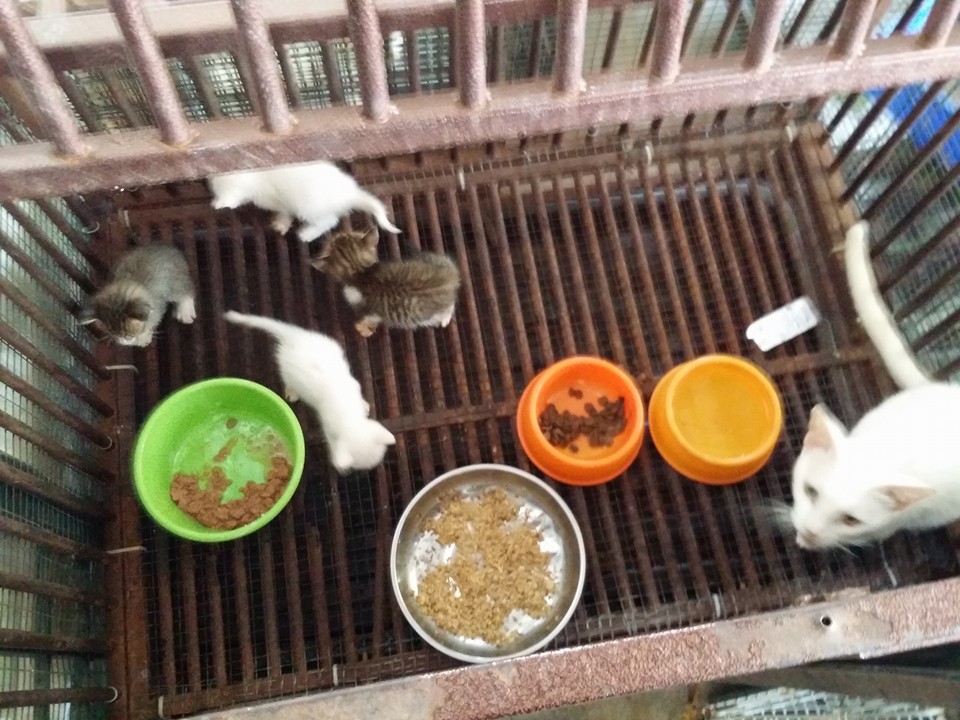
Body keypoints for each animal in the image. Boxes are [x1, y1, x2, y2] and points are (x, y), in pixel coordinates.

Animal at [208, 161, 401, 242]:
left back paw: (306, 234)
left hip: (310, 208)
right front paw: (281, 225)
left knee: (329, 220)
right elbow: (284, 213)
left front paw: (218, 203)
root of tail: (350, 193)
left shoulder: (237, 186)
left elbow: (231, 198)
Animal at [223, 311, 396, 473]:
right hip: (288, 373)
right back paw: (292, 393)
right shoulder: (328, 427)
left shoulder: (354, 386)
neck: (351, 418)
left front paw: (365, 405)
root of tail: (294, 338)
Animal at [310, 226, 461, 337]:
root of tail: (451, 276)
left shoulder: (368, 310)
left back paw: (444, 319)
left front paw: (364, 328)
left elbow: (370, 319)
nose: (337, 233)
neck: (360, 272)